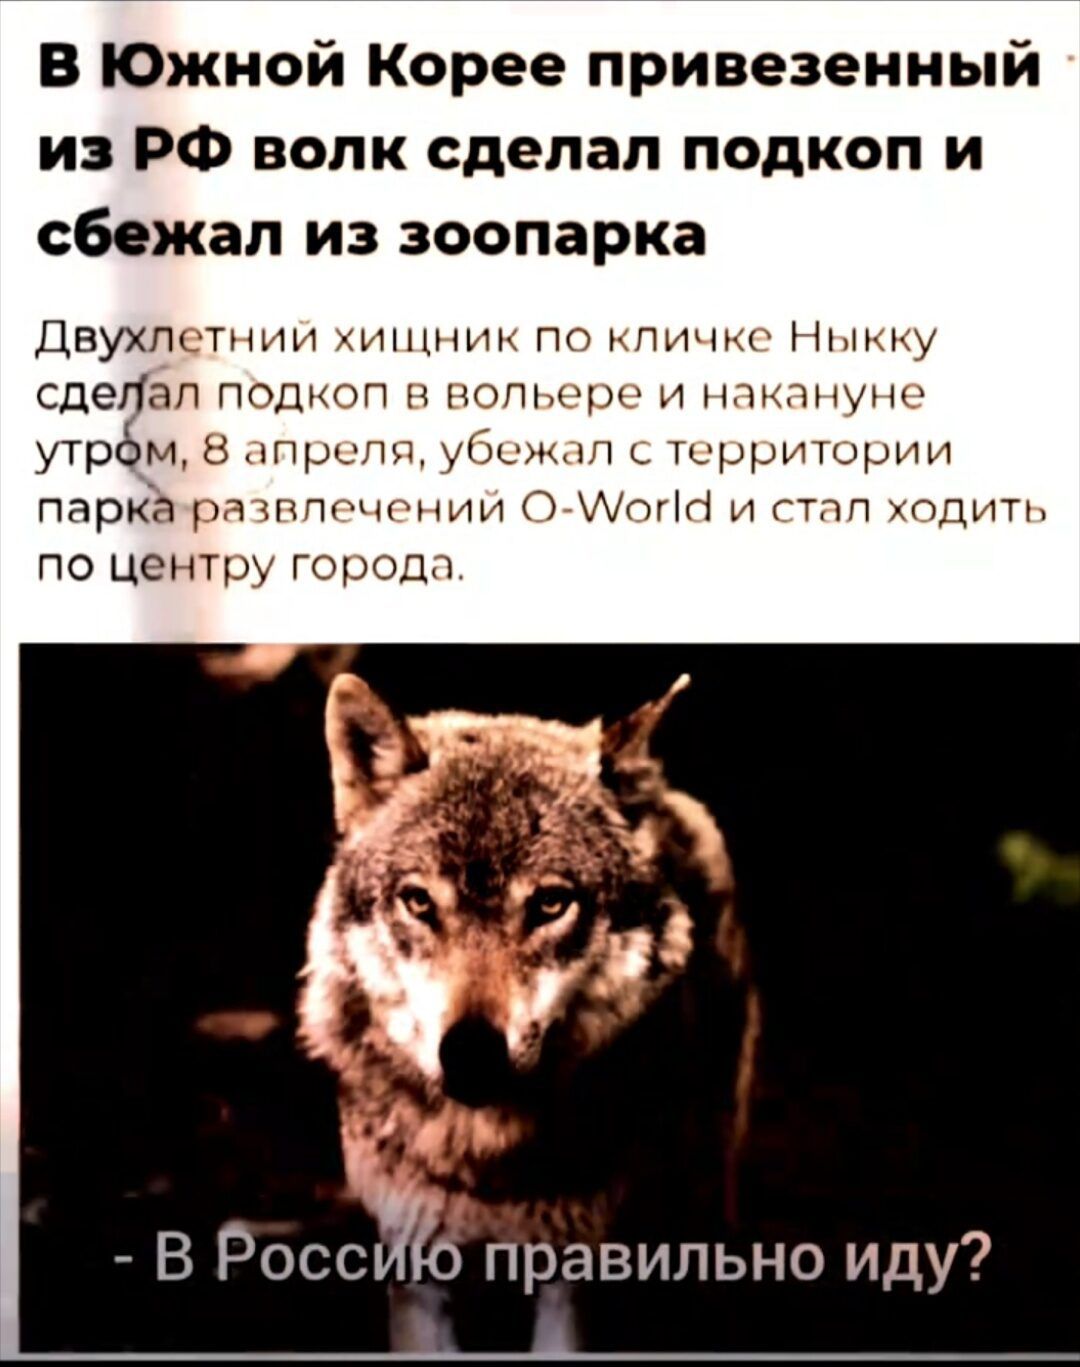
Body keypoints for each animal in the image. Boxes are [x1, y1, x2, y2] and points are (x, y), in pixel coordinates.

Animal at [299, 671, 759, 1351]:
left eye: (549, 904)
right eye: (418, 902)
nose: (469, 1053)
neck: (484, 1160)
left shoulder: (575, 1275)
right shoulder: (416, 1269)